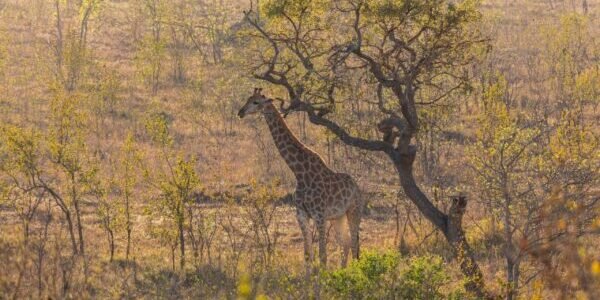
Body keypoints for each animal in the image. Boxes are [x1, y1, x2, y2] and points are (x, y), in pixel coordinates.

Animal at [237, 88, 364, 270]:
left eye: (256, 102)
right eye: (248, 99)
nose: (240, 112)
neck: (299, 172)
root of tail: (357, 188)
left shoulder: (319, 215)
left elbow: (323, 256)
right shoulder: (301, 215)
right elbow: (308, 255)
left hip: (354, 211)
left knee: (354, 244)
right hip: (338, 217)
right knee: (345, 243)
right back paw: (342, 271)